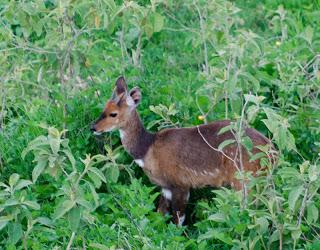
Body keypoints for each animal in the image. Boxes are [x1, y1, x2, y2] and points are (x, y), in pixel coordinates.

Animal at [91, 76, 274, 225]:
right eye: (103, 109)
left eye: (113, 114)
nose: (93, 128)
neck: (148, 149)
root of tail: (272, 152)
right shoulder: (165, 186)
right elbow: (160, 214)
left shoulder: (181, 183)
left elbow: (178, 219)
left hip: (244, 179)